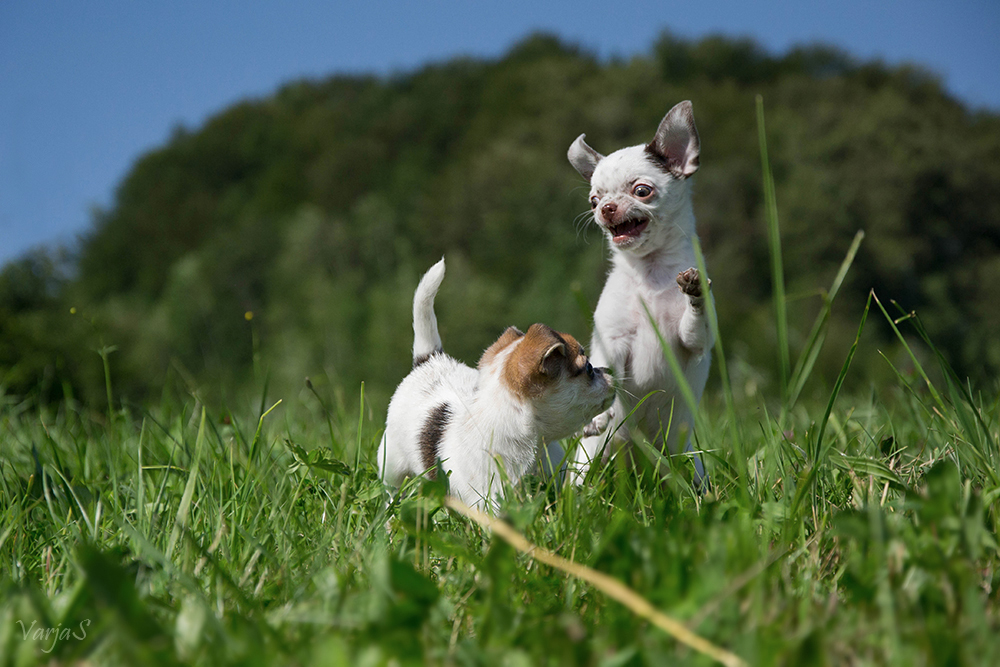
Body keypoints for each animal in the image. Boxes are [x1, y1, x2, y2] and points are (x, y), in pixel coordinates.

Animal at [376, 258, 616, 508]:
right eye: (588, 368)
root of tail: (429, 359)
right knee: (393, 490)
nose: (609, 371)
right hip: (391, 464)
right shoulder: (488, 503)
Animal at [568, 100, 716, 486]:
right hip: (588, 458)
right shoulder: (614, 341)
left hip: (685, 456)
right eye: (593, 201)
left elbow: (695, 322)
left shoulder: (693, 342)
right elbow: (604, 368)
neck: (649, 273)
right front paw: (596, 413)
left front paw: (694, 292)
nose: (606, 209)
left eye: (642, 191)